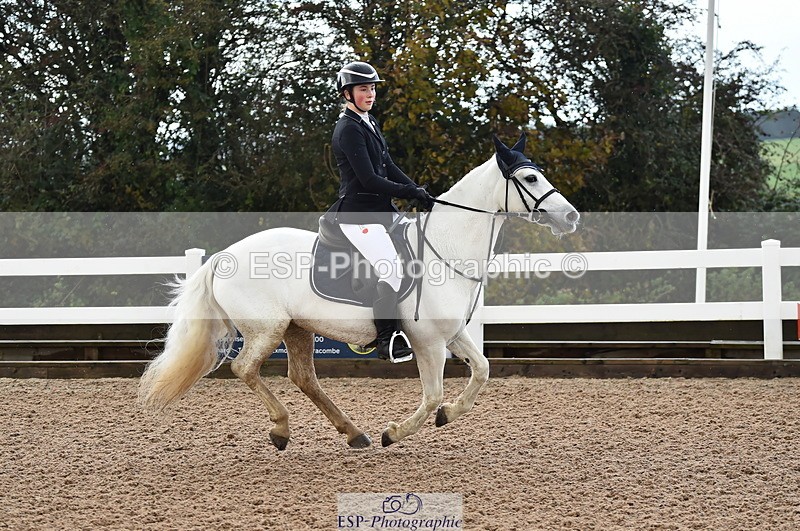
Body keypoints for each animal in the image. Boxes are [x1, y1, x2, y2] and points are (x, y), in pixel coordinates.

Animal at [138, 132, 580, 449]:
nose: (571, 216)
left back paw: (353, 433)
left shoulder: (453, 334)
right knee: (244, 369)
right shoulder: (428, 342)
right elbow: (432, 394)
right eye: (530, 178)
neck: (446, 247)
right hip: (267, 329)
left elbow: (483, 371)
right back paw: (282, 429)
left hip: (297, 328)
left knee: (304, 378)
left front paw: (449, 415)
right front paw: (395, 432)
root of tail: (222, 256)